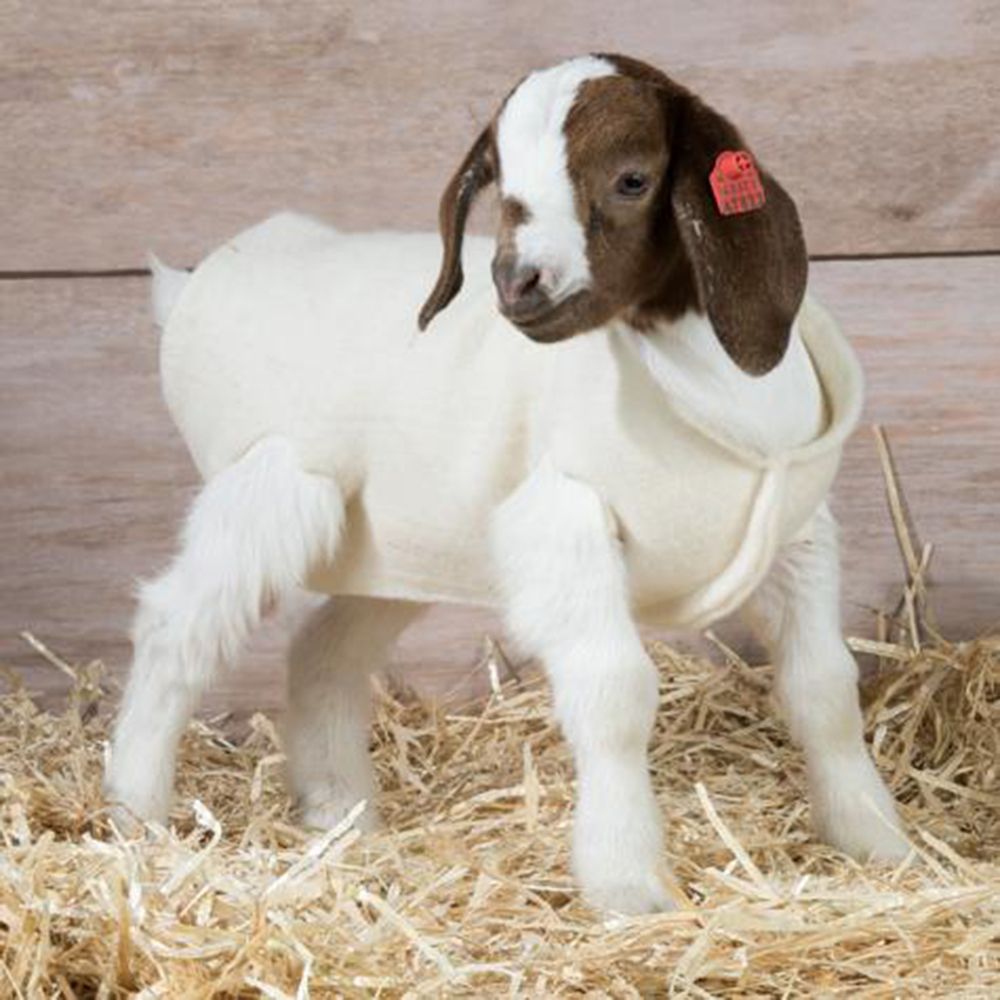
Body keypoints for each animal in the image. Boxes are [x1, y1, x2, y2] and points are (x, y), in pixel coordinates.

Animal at [105, 53, 909, 914]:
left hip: (401, 538)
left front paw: (878, 842)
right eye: (501, 186)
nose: (516, 280)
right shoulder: (560, 518)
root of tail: (193, 286)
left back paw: (339, 813)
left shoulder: (795, 535)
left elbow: (825, 688)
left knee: (323, 647)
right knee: (178, 623)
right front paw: (628, 884)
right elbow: (615, 692)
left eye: (631, 178)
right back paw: (135, 813)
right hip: (271, 483)